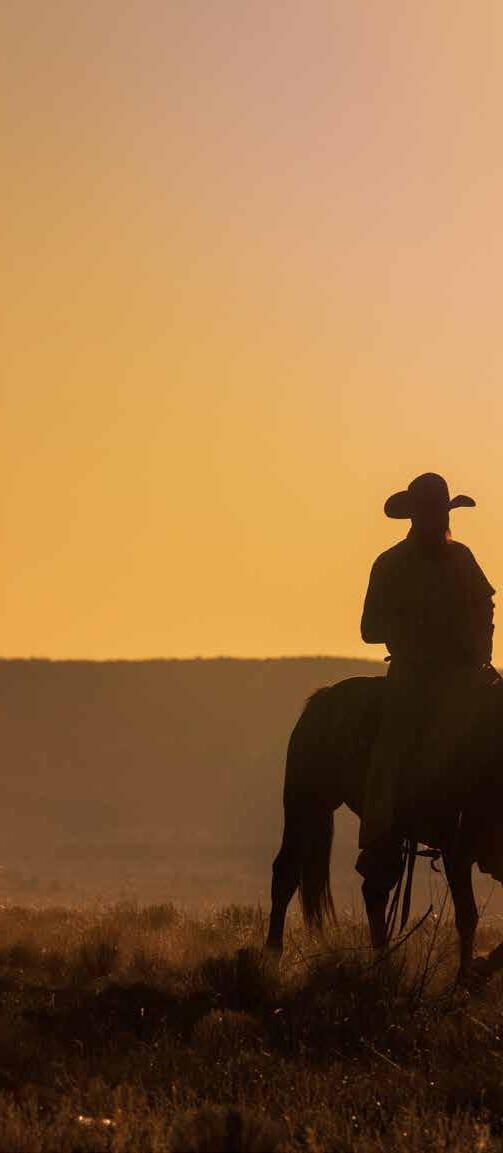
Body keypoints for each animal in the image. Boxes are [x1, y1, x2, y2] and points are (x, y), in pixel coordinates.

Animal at [265, 675, 503, 981]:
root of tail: (323, 698)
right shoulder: (457, 850)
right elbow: (467, 915)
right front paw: (466, 978)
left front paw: (479, 969)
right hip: (306, 806)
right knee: (287, 873)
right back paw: (271, 959)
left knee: (374, 888)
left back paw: (384, 965)